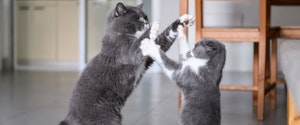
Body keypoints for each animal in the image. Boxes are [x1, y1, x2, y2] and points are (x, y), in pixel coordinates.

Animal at [59, 1, 196, 124]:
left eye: (145, 17)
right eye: (137, 18)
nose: (147, 22)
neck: (120, 34)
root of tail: (69, 118)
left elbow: (165, 37)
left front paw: (184, 19)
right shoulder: (127, 52)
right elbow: (137, 46)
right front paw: (153, 27)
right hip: (106, 119)